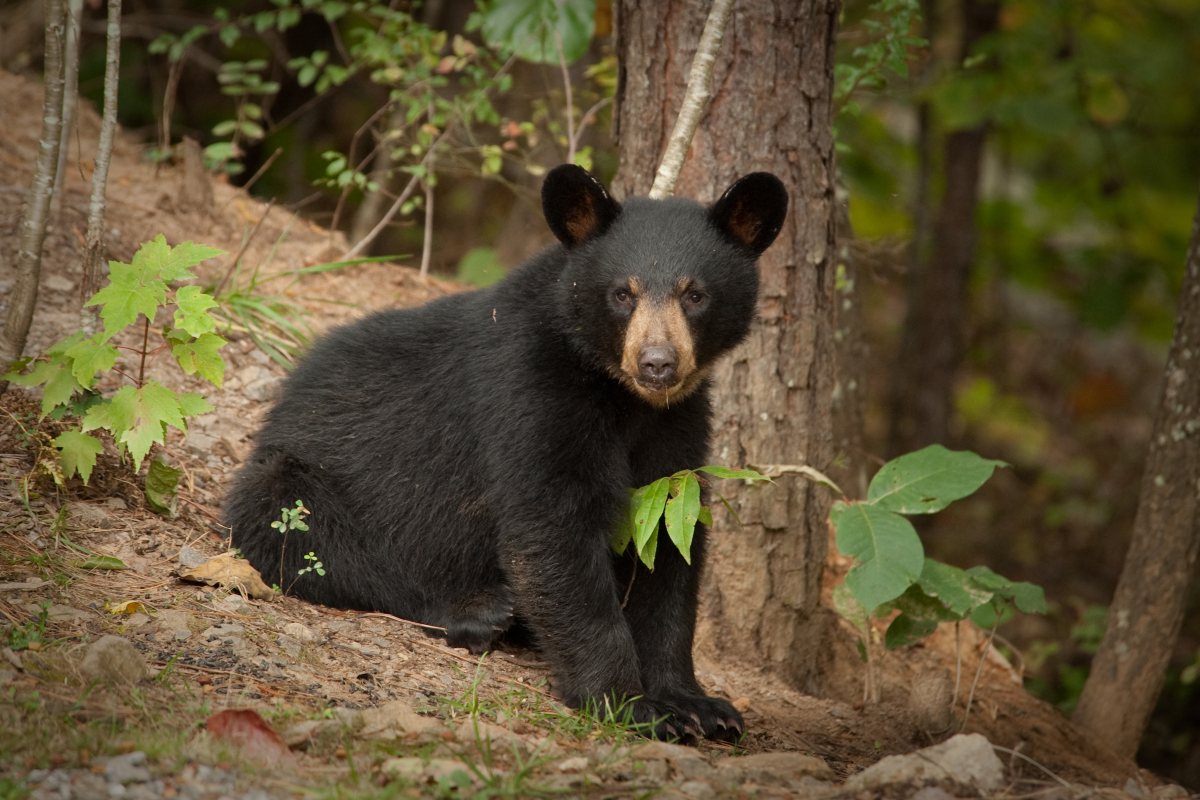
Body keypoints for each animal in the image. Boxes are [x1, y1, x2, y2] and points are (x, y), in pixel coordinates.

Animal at [224, 164, 788, 740]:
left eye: (694, 295)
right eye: (622, 294)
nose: (657, 363)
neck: (623, 397)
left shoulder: (678, 425)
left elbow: (670, 541)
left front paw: (698, 705)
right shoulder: (529, 391)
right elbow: (551, 531)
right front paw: (627, 703)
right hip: (297, 477)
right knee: (305, 538)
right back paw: (478, 611)